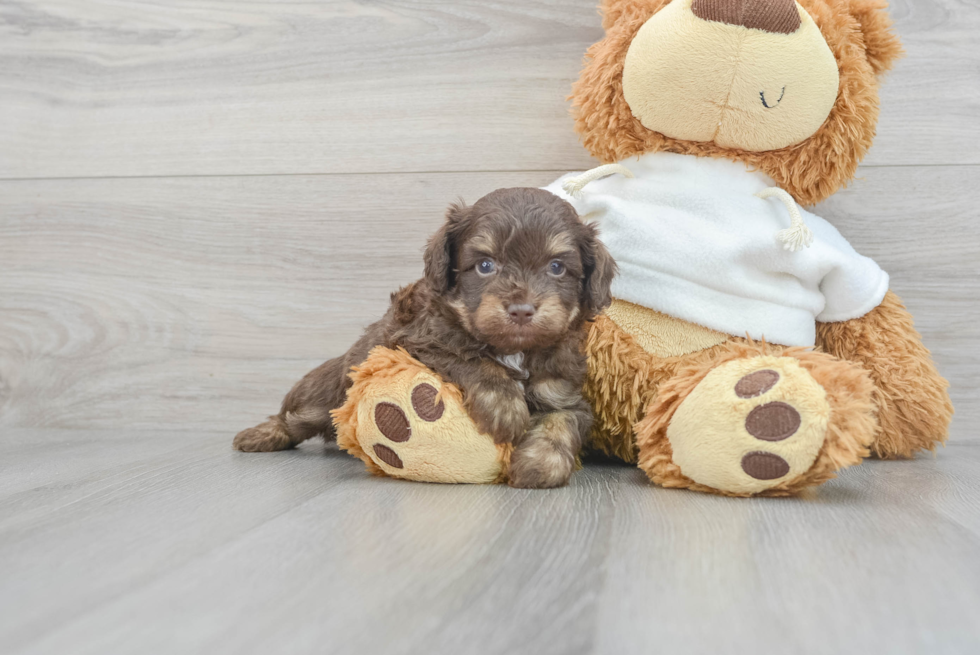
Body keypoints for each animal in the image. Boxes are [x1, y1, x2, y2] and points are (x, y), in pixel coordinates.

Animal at [234, 187, 616, 490]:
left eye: (557, 267)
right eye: (485, 265)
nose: (521, 310)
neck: (513, 349)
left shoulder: (562, 392)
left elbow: (561, 421)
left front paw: (540, 465)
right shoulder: (418, 340)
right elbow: (471, 359)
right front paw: (505, 407)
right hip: (322, 393)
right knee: (293, 415)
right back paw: (258, 435)